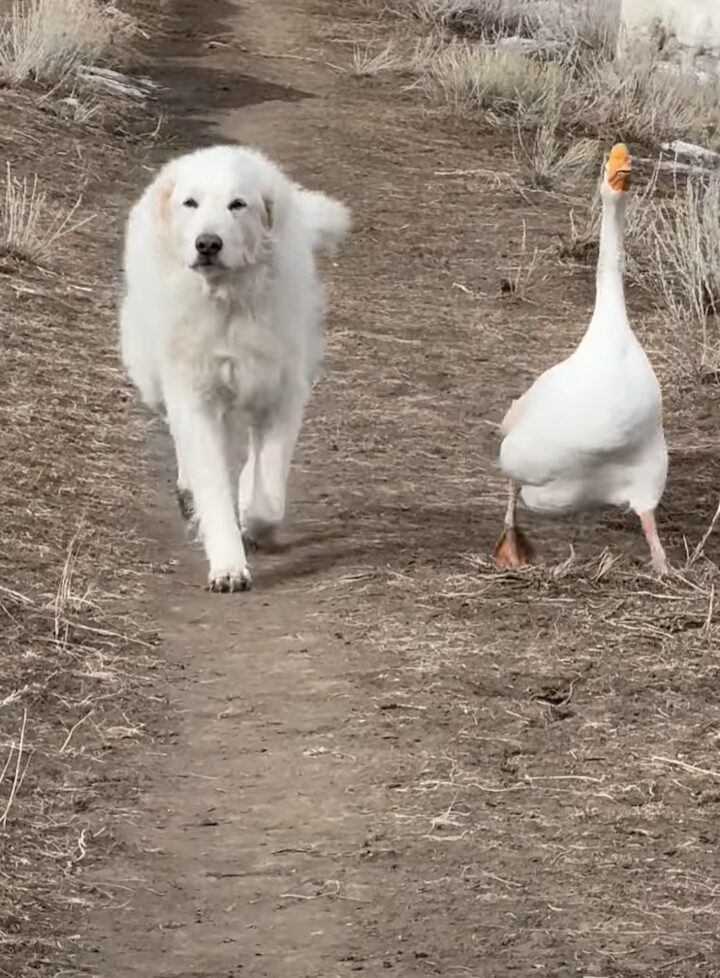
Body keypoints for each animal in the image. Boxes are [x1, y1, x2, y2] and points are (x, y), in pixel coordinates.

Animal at [119, 142, 350, 592]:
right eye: (191, 203)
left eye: (237, 205)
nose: (207, 243)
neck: (228, 301)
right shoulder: (197, 397)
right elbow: (213, 486)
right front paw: (228, 566)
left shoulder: (280, 395)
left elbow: (267, 493)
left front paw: (253, 519)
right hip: (155, 379)